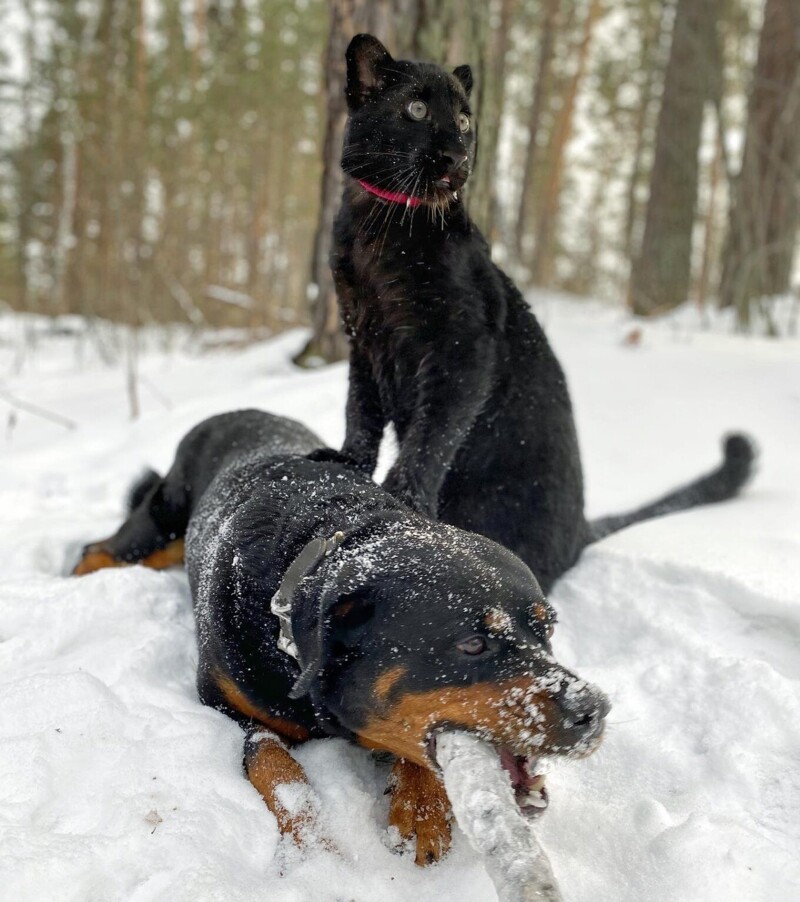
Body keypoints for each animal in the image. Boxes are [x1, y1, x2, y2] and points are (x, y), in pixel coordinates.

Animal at [76, 414, 608, 864]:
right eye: (472, 644)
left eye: (547, 629)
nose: (594, 709)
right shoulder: (223, 702)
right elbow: (273, 763)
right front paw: (313, 842)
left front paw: (420, 805)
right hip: (159, 521)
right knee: (102, 547)